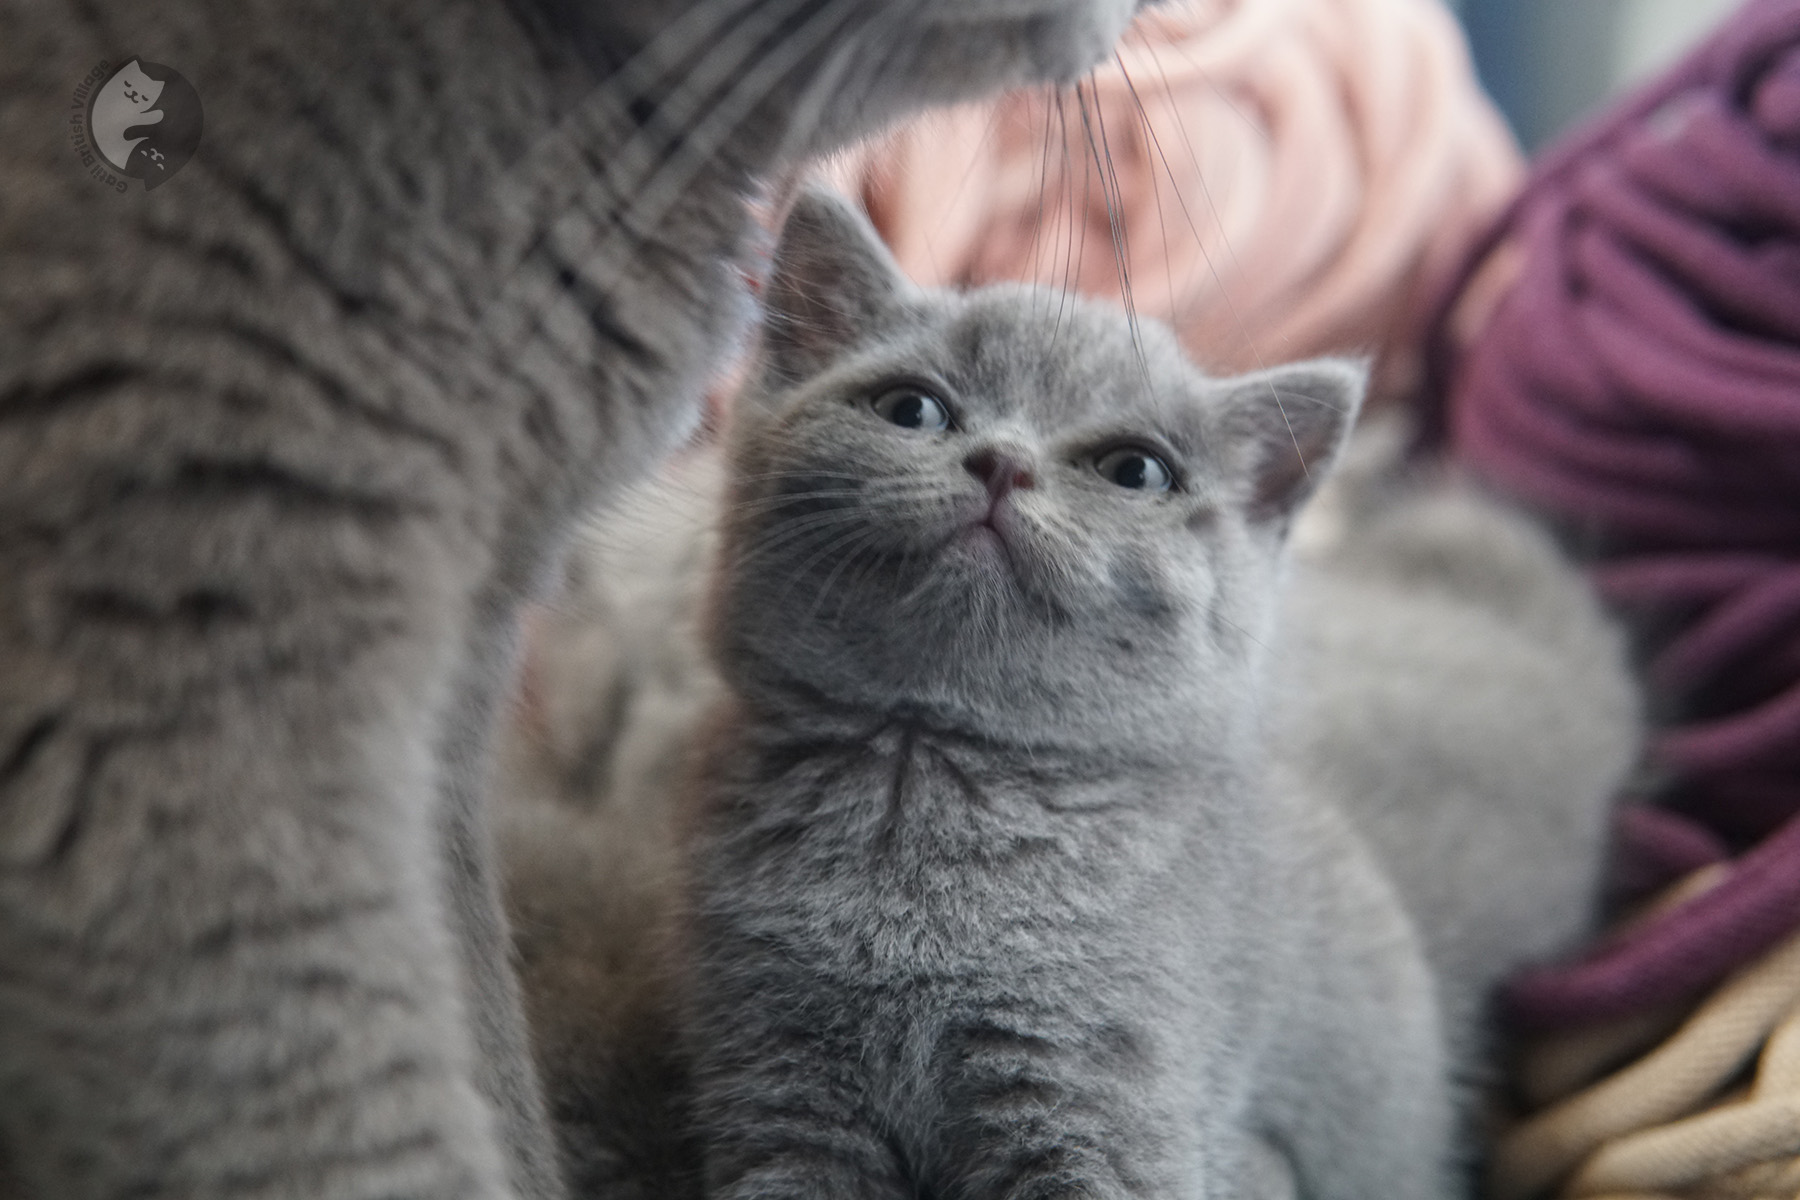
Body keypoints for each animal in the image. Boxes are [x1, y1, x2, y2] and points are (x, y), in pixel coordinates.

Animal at [676, 192, 1476, 1200]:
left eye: (1135, 471)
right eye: (912, 409)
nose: (1002, 461)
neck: (923, 775)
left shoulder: (1096, 1089)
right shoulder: (779, 1082)